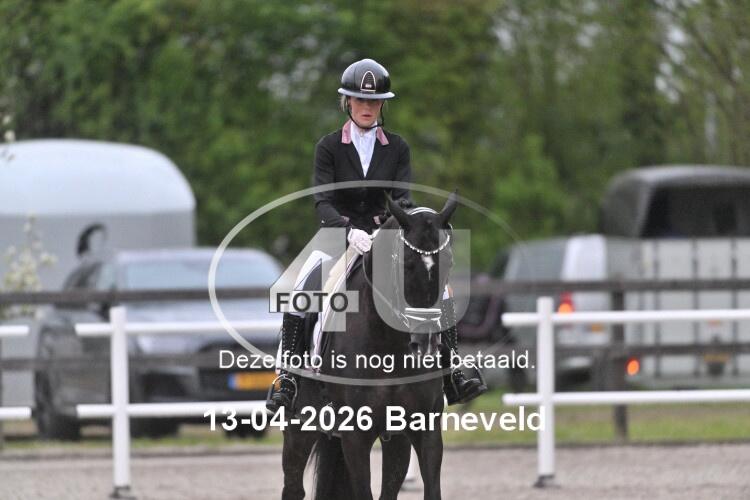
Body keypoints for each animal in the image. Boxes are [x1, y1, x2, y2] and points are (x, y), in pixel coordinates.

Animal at [280, 192, 458, 500]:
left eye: (447, 262)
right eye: (405, 264)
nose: (424, 343)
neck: (389, 345)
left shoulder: (424, 429)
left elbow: (431, 489)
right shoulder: (355, 436)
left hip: (395, 440)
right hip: (298, 429)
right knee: (293, 488)